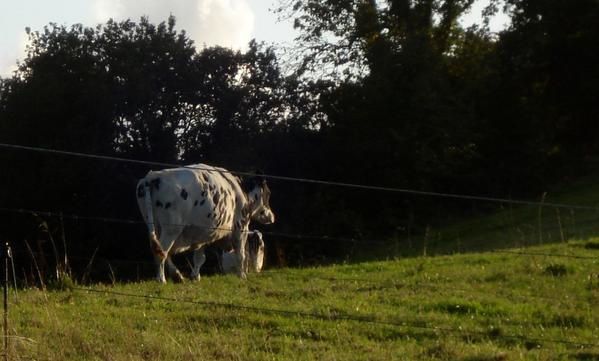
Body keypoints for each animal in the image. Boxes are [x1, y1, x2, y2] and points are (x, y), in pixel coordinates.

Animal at [135, 164, 274, 284]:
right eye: (268, 193)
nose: (272, 217)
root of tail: (152, 177)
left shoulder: (201, 234)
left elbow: (199, 258)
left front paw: (195, 277)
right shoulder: (241, 226)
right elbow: (241, 254)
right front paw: (242, 276)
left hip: (154, 224)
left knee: (161, 250)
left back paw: (178, 276)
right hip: (171, 229)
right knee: (161, 252)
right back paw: (161, 279)